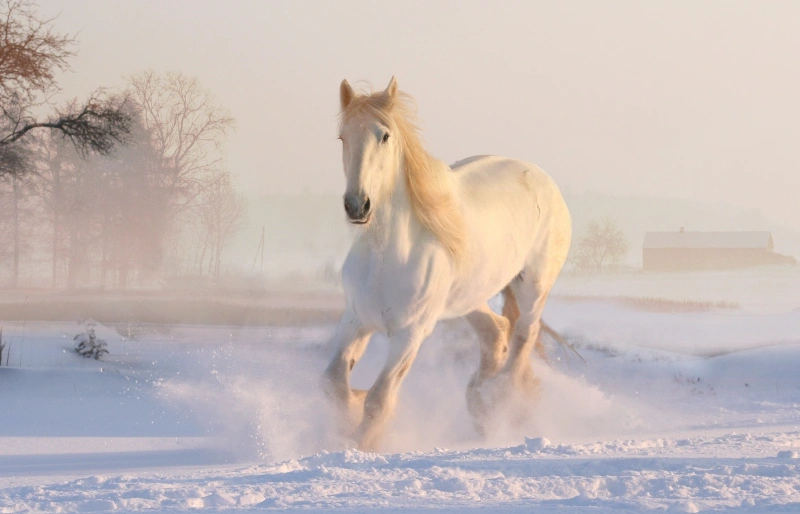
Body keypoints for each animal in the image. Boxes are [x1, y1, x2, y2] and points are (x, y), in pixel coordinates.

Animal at [322, 76, 572, 448]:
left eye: (384, 135)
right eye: (343, 137)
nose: (357, 205)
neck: (386, 257)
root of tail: (543, 179)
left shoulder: (411, 334)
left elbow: (379, 399)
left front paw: (360, 444)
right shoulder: (355, 320)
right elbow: (334, 384)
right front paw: (348, 417)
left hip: (533, 287)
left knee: (524, 336)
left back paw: (499, 400)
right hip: (469, 297)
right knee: (496, 331)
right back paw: (480, 402)